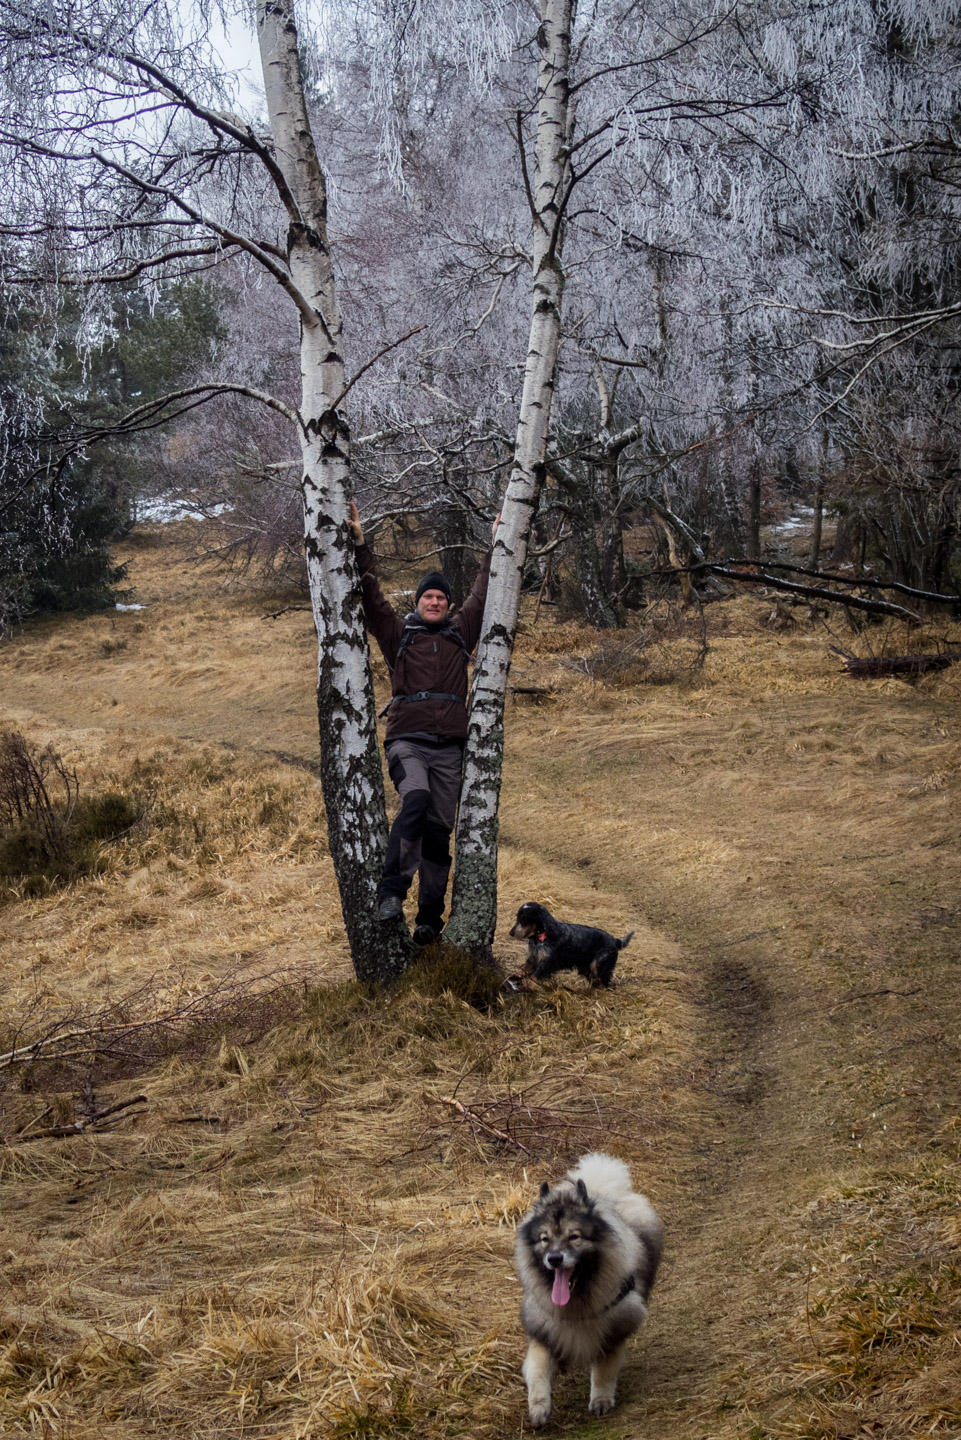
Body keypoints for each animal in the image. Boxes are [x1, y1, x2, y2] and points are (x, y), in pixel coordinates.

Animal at [515, 1152, 665, 1422]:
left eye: (574, 1237)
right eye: (544, 1239)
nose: (554, 1258)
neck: (577, 1302)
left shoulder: (613, 1328)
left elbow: (603, 1369)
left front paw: (601, 1400)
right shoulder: (544, 1329)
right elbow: (537, 1369)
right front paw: (539, 1406)